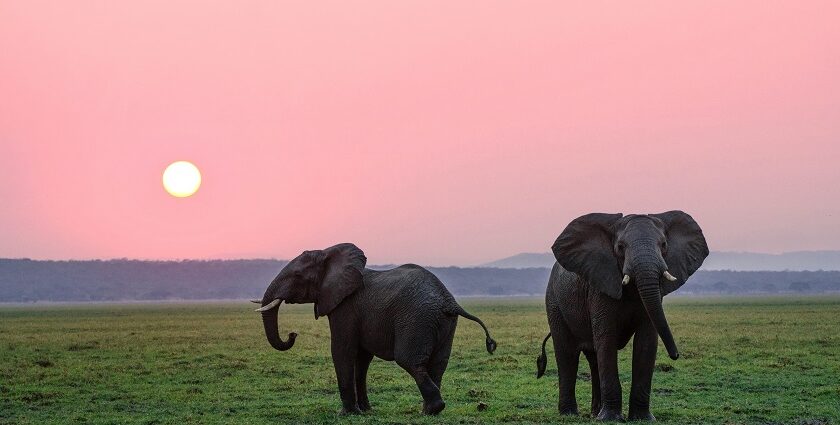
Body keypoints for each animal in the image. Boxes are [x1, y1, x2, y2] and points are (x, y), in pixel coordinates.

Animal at [253, 242, 496, 414]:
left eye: (297, 276)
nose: (292, 334)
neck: (328, 253)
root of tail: (448, 300)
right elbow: (362, 359)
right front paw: (366, 411)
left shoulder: (345, 306)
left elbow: (342, 350)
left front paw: (347, 414)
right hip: (444, 322)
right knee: (438, 363)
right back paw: (429, 411)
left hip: (417, 319)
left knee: (409, 360)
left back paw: (433, 409)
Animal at [536, 210, 704, 420]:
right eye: (620, 247)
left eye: (664, 245)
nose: (675, 355)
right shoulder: (600, 285)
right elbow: (606, 339)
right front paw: (611, 419)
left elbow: (646, 341)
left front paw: (642, 419)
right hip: (554, 303)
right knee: (567, 354)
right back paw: (570, 414)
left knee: (593, 358)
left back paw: (595, 414)